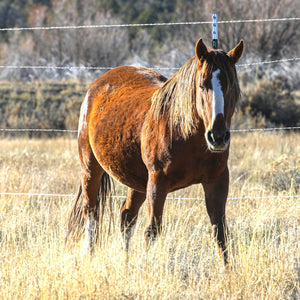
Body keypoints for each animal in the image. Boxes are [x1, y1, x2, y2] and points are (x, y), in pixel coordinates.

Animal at [66, 37, 244, 264]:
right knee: (92, 213)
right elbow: (152, 230)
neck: (183, 131)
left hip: (138, 181)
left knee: (126, 216)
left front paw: (227, 271)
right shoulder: (158, 182)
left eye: (231, 86)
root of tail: (97, 86)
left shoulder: (217, 181)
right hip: (91, 168)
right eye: (202, 85)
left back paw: (125, 263)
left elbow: (220, 232)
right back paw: (88, 256)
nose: (218, 136)